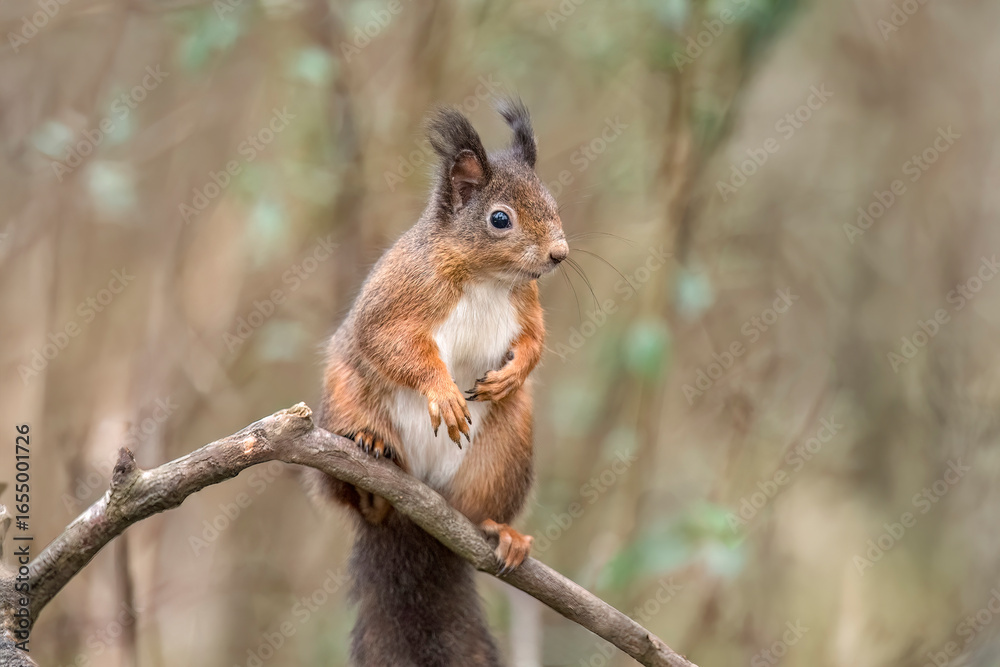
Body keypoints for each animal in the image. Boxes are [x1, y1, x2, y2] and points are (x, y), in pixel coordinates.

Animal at [307, 98, 567, 666]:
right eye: (500, 219)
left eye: (552, 201)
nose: (559, 254)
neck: (487, 277)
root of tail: (417, 510)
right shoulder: (400, 296)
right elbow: (393, 344)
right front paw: (443, 393)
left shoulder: (528, 306)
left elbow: (535, 342)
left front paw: (511, 374)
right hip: (343, 399)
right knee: (354, 491)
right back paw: (370, 463)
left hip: (503, 455)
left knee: (481, 510)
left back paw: (502, 533)